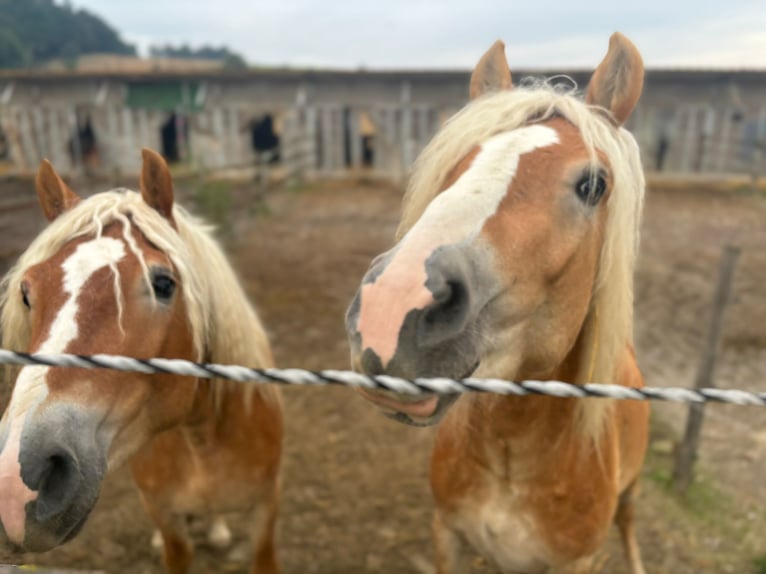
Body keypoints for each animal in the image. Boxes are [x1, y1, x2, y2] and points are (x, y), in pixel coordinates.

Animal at [0, 150, 284, 574]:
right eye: (26, 292)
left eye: (163, 284)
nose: (14, 485)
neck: (203, 440)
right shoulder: (167, 519)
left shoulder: (266, 511)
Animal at [348, 33, 656, 572]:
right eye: (458, 165)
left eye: (593, 185)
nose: (391, 310)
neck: (512, 455)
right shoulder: (447, 531)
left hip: (632, 490)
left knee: (630, 522)